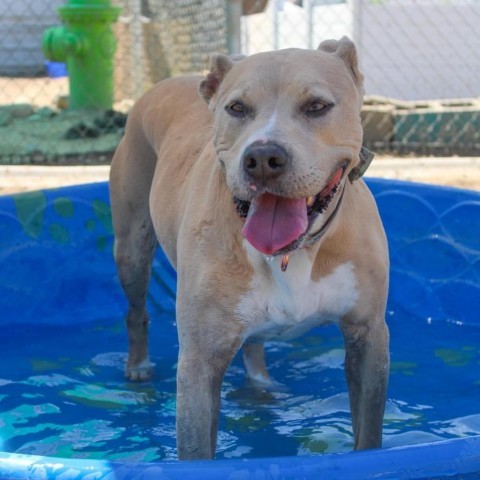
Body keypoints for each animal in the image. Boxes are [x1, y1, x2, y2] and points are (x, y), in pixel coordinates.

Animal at [109, 36, 390, 458]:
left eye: (317, 106)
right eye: (237, 108)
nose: (263, 156)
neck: (295, 252)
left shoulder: (368, 337)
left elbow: (368, 437)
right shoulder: (199, 362)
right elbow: (196, 452)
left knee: (253, 344)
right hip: (132, 246)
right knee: (135, 310)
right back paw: (138, 365)